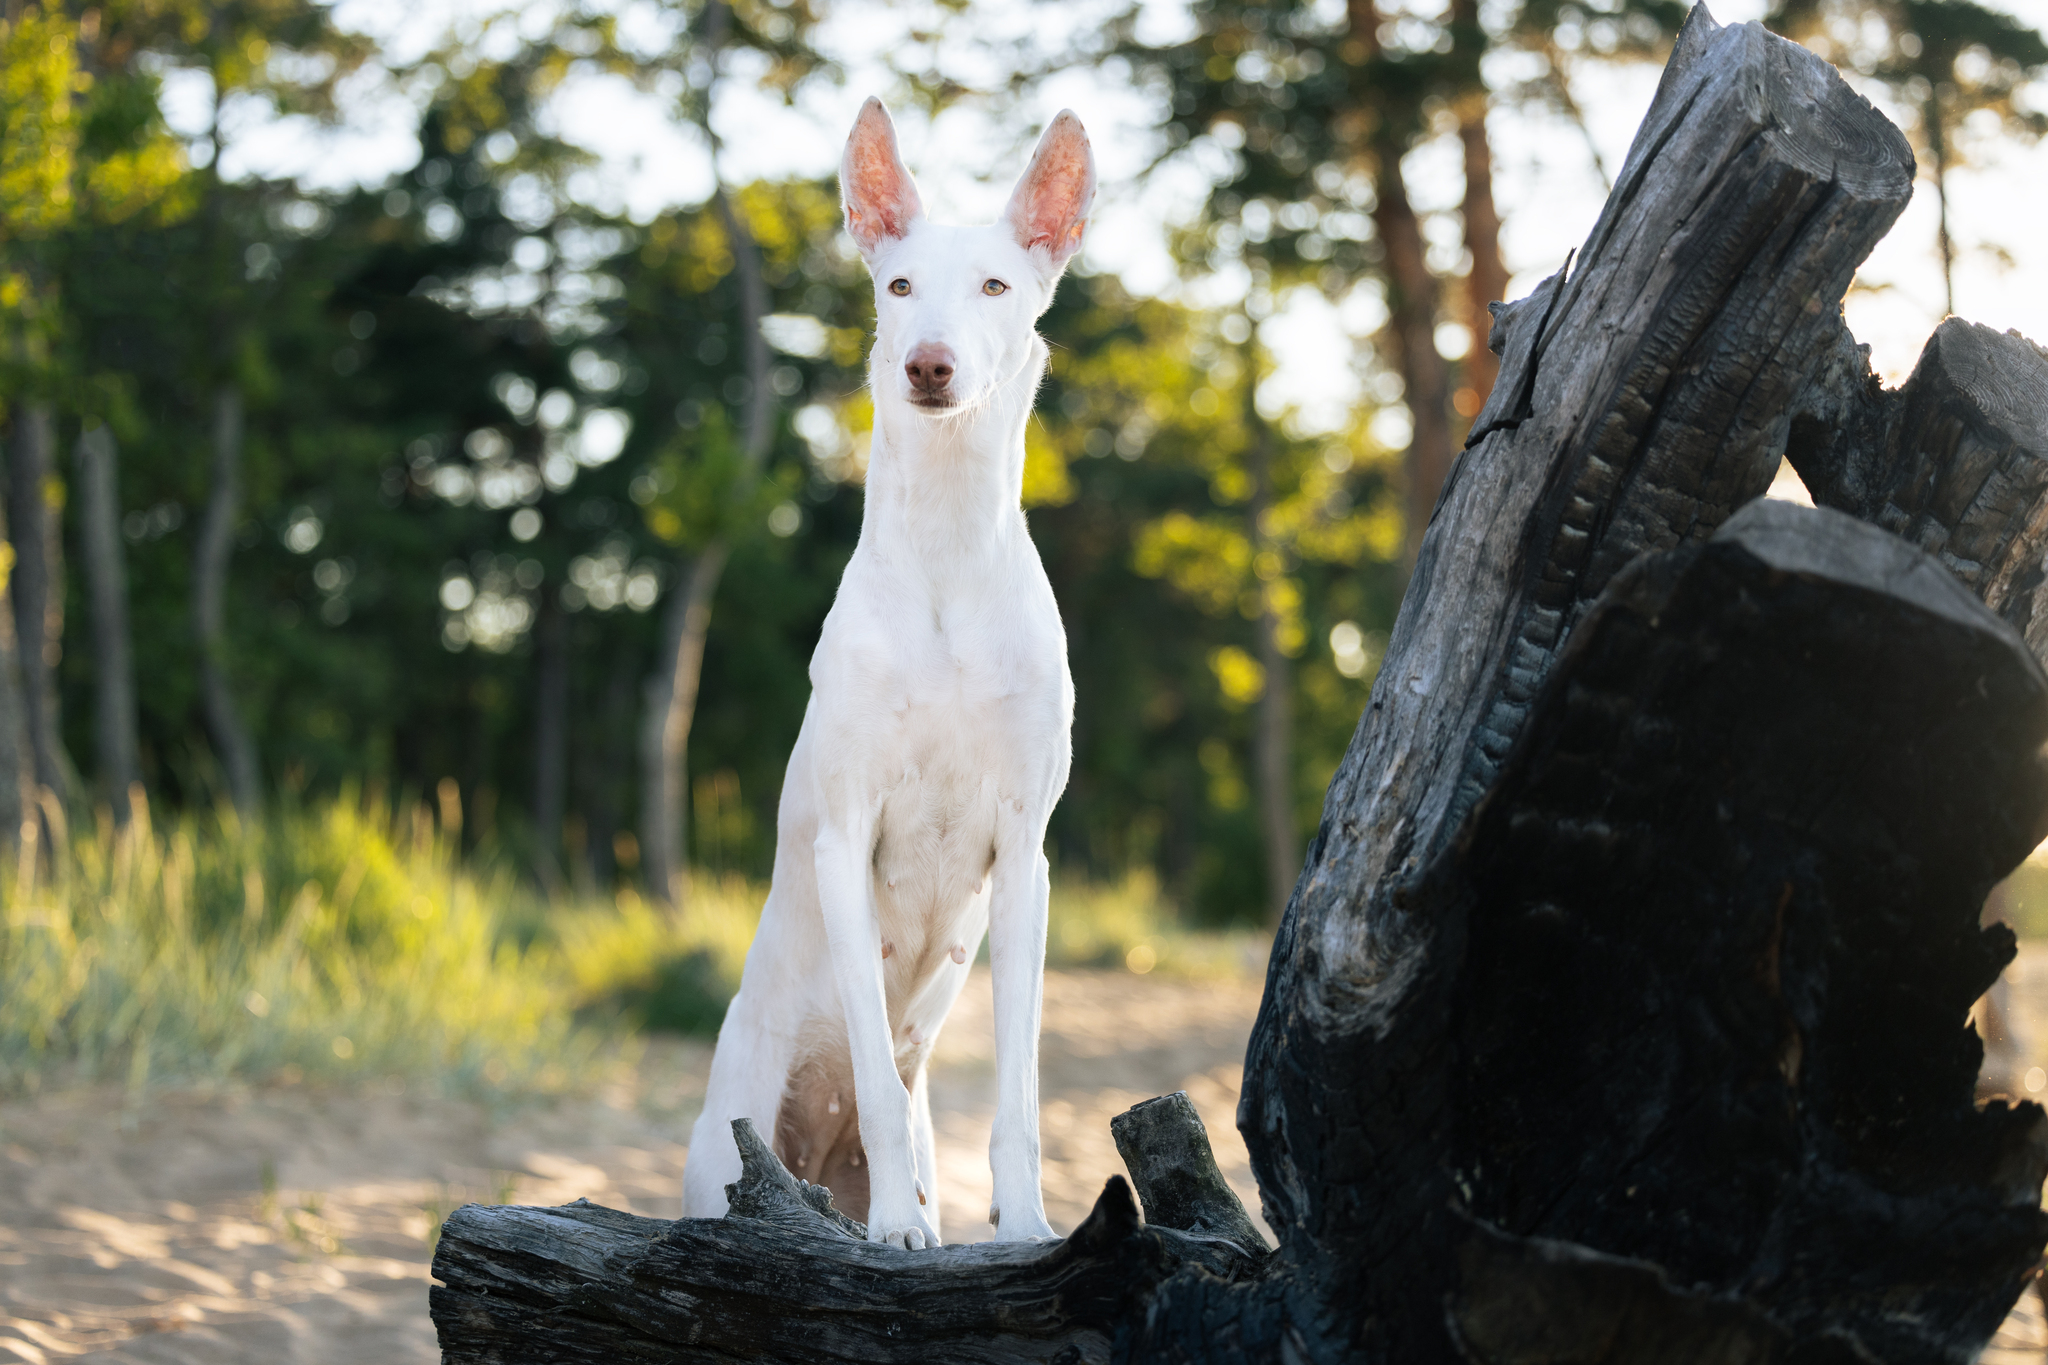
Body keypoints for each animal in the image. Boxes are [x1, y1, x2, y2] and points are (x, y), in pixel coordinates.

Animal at [675, 96, 1089, 1252]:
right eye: (897, 287)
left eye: (995, 286)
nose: (929, 366)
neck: (946, 551)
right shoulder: (843, 841)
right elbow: (869, 1064)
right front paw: (898, 1231)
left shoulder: (1027, 858)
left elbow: (1019, 1093)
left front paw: (1028, 1224)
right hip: (729, 1139)